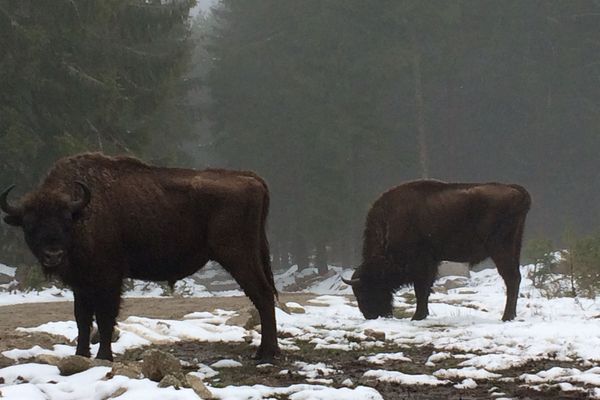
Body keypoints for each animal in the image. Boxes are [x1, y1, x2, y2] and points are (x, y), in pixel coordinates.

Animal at [0, 154, 278, 362]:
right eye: (29, 224)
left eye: (66, 220)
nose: (53, 254)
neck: (84, 213)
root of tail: (252, 179)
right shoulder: (82, 284)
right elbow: (82, 319)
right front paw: (80, 355)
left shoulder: (109, 279)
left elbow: (104, 318)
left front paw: (104, 357)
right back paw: (265, 352)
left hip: (238, 257)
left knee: (263, 295)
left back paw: (266, 354)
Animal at [342, 180, 528, 322]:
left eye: (365, 288)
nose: (370, 315)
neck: (390, 222)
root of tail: (517, 191)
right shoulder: (431, 262)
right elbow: (425, 289)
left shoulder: (421, 263)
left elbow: (421, 289)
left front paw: (417, 316)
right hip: (514, 248)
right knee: (515, 278)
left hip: (500, 249)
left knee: (511, 279)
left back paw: (506, 317)